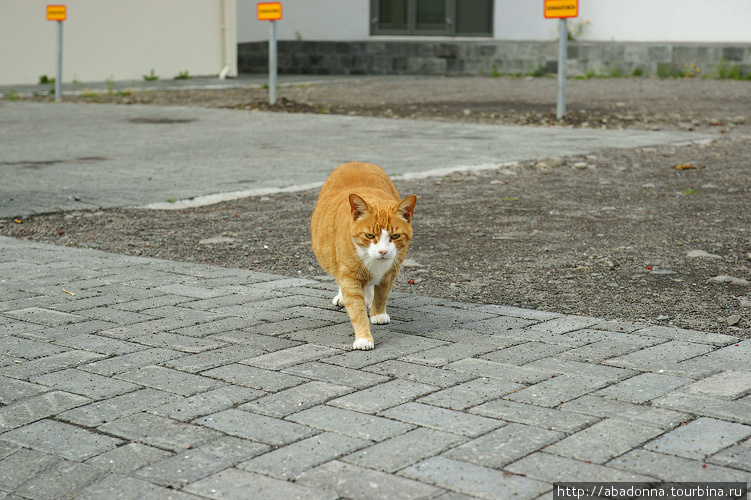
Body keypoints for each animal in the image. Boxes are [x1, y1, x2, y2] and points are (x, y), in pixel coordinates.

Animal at [310, 162, 418, 350]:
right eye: (369, 236)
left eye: (395, 236)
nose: (382, 252)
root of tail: (354, 162)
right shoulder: (349, 276)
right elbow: (356, 309)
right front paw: (363, 338)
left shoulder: (390, 272)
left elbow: (382, 294)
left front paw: (377, 313)